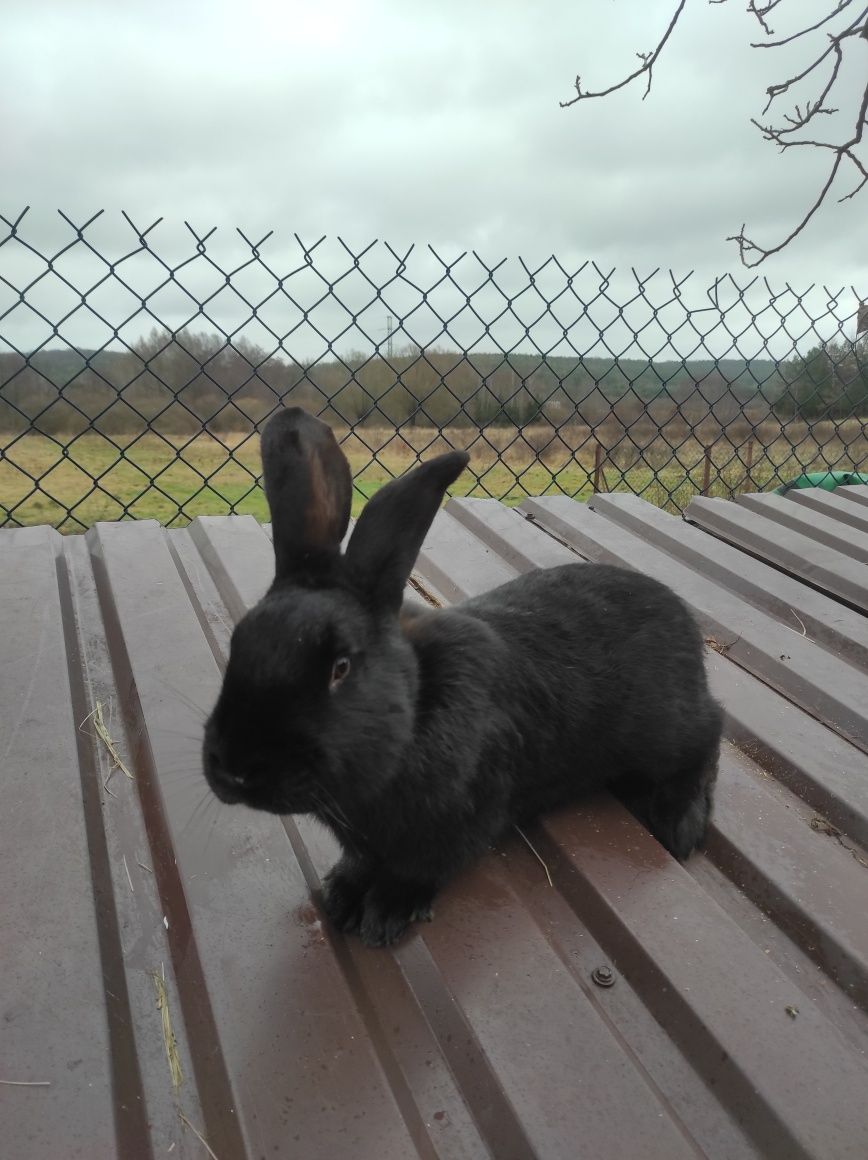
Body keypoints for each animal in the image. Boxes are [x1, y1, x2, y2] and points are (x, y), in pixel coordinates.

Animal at [201, 408, 719, 941]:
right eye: (238, 642)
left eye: (340, 668)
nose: (234, 770)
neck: (415, 708)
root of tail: (680, 615)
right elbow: (361, 862)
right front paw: (341, 896)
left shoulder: (459, 822)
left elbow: (420, 868)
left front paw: (384, 914)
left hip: (664, 733)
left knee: (707, 738)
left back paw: (679, 825)